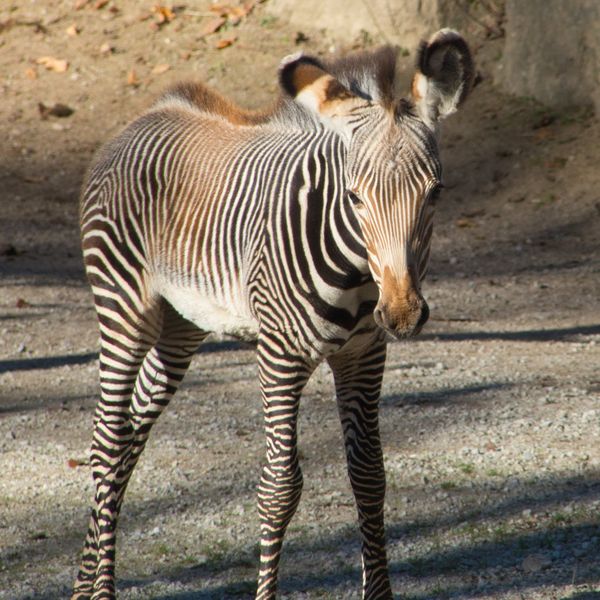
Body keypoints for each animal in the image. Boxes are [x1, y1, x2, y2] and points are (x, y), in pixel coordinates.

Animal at [72, 29, 474, 600]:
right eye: (354, 197)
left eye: (435, 193)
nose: (401, 314)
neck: (356, 274)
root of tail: (149, 113)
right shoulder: (280, 358)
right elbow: (280, 487)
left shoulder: (363, 355)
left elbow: (369, 476)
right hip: (124, 308)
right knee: (107, 441)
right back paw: (99, 587)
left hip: (181, 326)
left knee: (131, 432)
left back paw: (84, 582)